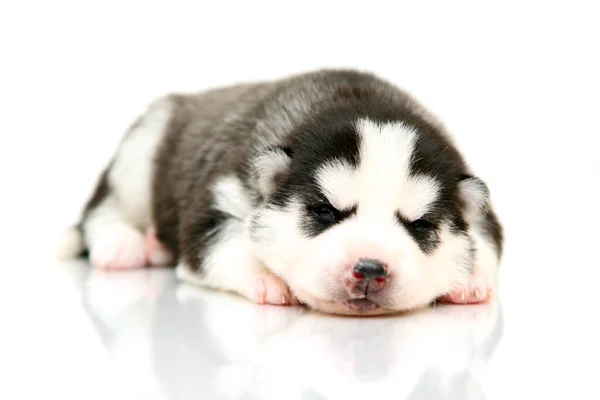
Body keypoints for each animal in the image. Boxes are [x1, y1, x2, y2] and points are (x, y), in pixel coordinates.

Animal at [58, 69, 504, 316]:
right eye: (325, 212)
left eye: (420, 225)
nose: (370, 269)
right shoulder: (219, 199)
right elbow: (226, 242)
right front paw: (267, 277)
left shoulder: (478, 203)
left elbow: (486, 239)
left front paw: (470, 276)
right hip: (140, 153)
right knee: (103, 208)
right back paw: (124, 245)